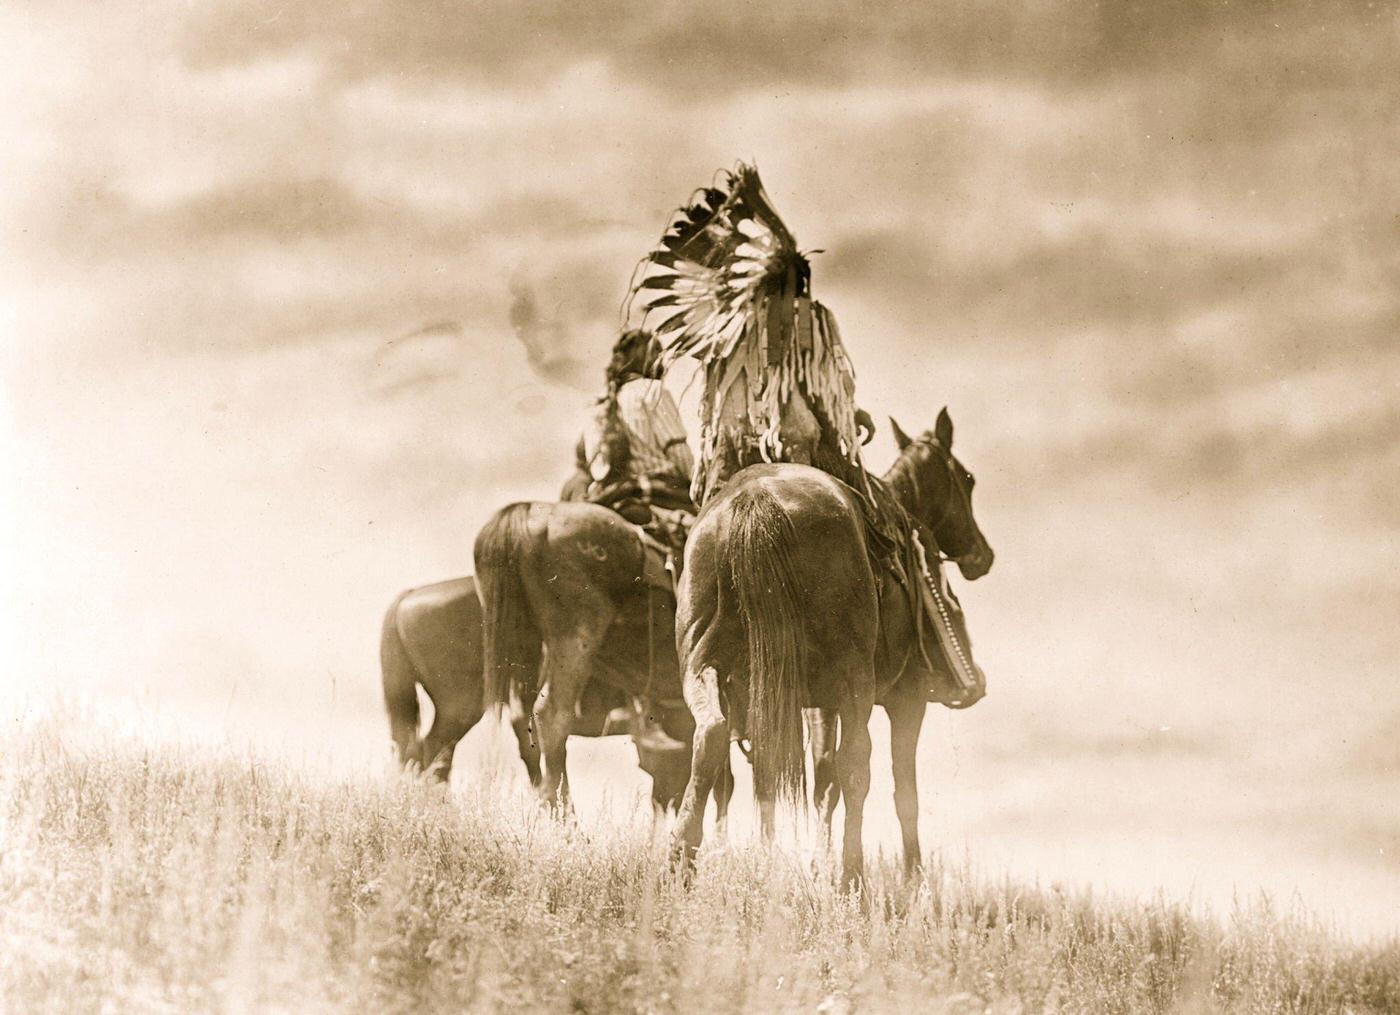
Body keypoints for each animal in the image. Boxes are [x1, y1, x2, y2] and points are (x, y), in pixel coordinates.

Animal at [669, 408, 991, 884]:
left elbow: (822, 781)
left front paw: (818, 862)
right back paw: (851, 876)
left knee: (711, 736)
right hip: (853, 679)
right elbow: (901, 790)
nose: (982, 555)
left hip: (702, 666)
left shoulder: (818, 703)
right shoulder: (907, 698)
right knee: (856, 765)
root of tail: (753, 500)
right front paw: (913, 879)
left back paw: (680, 858)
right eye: (966, 480)